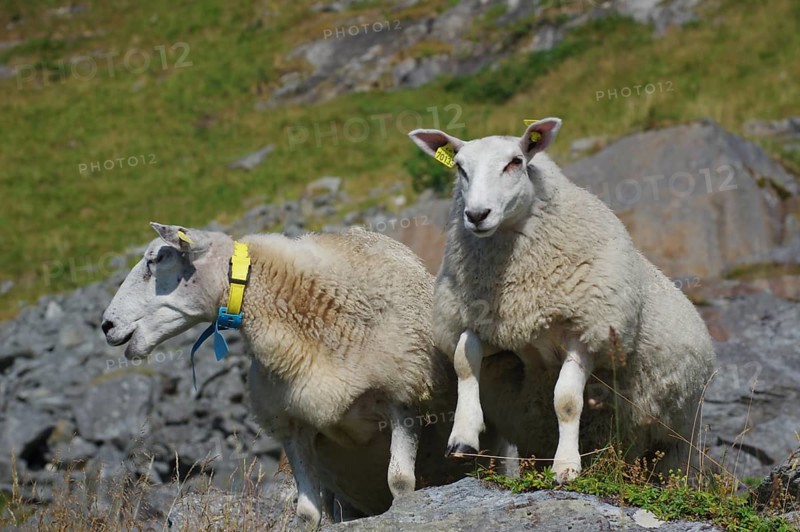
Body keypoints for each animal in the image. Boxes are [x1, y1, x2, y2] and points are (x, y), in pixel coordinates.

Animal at [101, 223, 475, 525]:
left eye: (157, 259)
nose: (106, 325)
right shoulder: (293, 425)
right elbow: (307, 513)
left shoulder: (404, 395)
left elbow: (400, 483)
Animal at [408, 118, 716, 483]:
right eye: (459, 167)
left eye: (515, 162)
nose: (477, 214)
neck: (515, 286)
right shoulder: (482, 321)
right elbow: (464, 363)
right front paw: (463, 438)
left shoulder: (588, 332)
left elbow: (567, 400)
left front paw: (567, 466)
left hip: (678, 437)